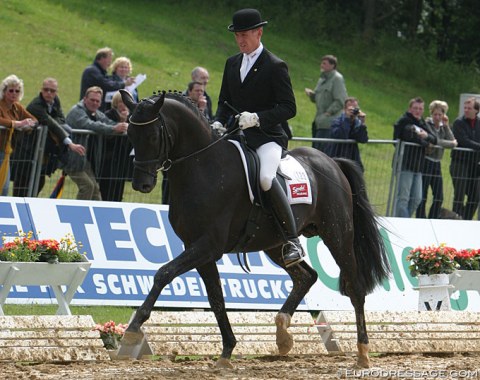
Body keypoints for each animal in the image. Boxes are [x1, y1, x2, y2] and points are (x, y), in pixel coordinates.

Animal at [119, 89, 390, 368]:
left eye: (152, 136)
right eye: (130, 134)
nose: (141, 184)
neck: (203, 166)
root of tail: (332, 162)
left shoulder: (208, 246)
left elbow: (163, 274)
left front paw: (132, 331)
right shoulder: (197, 248)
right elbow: (216, 299)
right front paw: (227, 352)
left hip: (337, 235)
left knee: (355, 287)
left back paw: (362, 354)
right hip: (276, 244)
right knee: (307, 276)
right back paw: (282, 335)